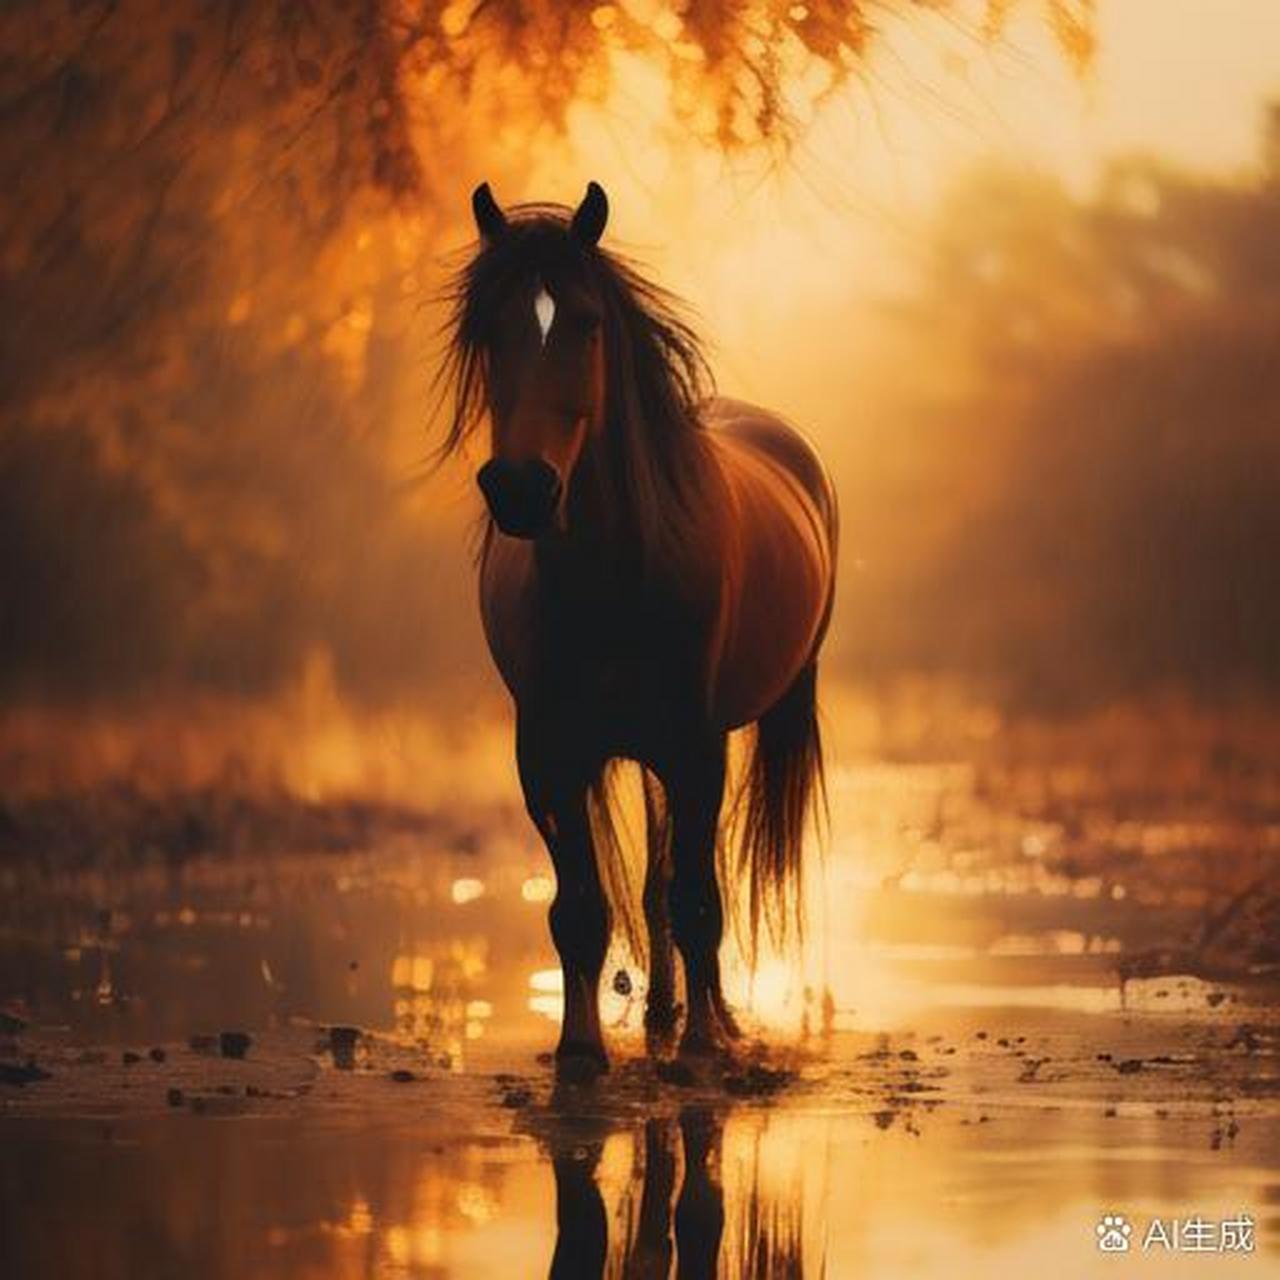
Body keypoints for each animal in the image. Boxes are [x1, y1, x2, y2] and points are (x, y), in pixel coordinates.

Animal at [439, 180, 837, 1077]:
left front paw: (701, 1050)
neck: (612, 581)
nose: (521, 488)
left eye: (587, 322)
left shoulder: (694, 745)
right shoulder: (548, 758)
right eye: (489, 329)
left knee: (692, 881)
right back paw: (658, 1011)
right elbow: (581, 909)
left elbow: (696, 900)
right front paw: (581, 1050)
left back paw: (708, 1020)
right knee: (654, 881)